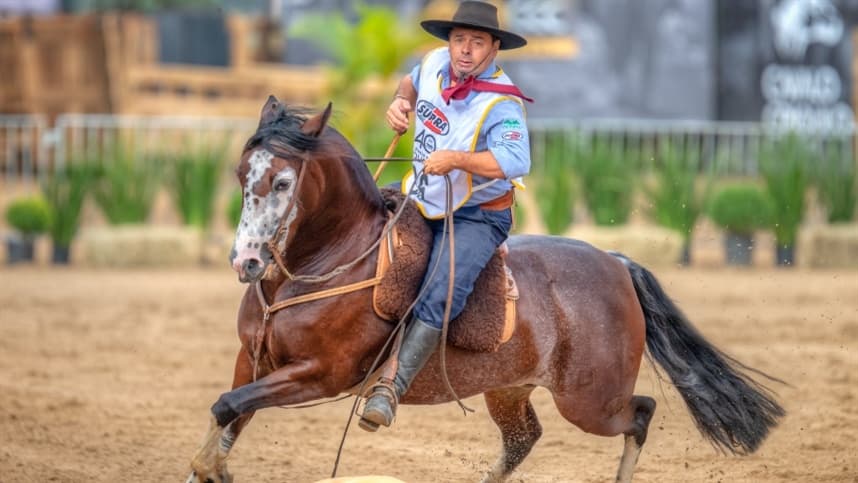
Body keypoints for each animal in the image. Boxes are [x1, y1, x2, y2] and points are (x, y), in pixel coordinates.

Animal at [186, 97, 784, 483]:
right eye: (241, 174)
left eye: (283, 181)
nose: (246, 261)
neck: (326, 263)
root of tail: (616, 264)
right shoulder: (253, 360)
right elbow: (228, 414)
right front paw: (210, 466)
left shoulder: (318, 374)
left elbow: (226, 408)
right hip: (510, 389)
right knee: (524, 440)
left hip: (591, 401)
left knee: (639, 414)